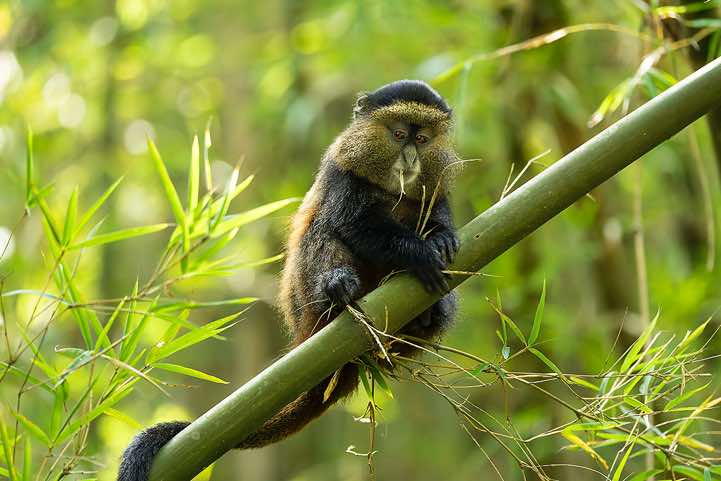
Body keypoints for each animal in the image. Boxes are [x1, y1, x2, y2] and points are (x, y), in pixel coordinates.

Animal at [117, 79, 460, 481]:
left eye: (423, 139)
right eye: (398, 134)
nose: (410, 160)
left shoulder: (436, 190)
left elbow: (439, 220)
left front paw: (440, 240)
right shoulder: (343, 175)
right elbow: (353, 224)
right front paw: (419, 252)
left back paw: (428, 317)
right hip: (306, 301)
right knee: (322, 230)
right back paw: (337, 291)